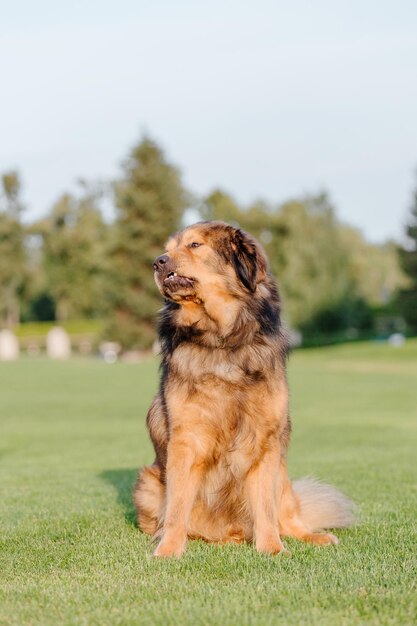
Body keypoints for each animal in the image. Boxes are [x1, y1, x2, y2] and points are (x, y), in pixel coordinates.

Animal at [132, 219, 352, 556]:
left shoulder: (265, 440)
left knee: (288, 514)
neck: (223, 340)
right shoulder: (186, 439)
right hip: (148, 484)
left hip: (283, 477)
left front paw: (272, 549)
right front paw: (168, 550)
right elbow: (177, 507)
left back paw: (312, 536)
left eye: (195, 245)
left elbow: (265, 508)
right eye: (167, 249)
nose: (158, 262)